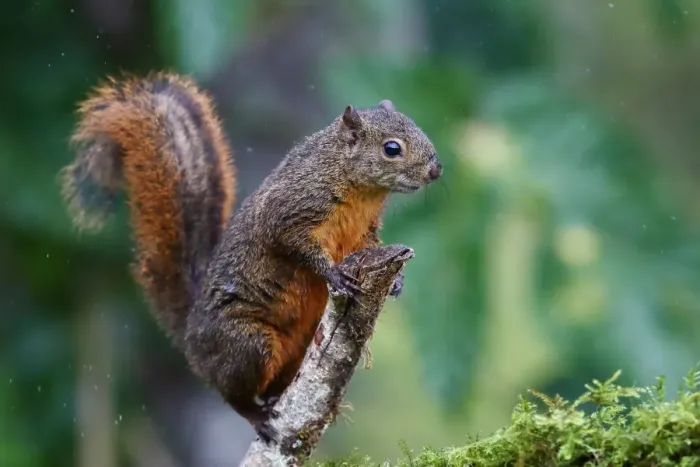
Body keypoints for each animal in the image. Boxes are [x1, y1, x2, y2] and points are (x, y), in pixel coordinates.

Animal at [59, 72, 442, 440]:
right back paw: (258, 416)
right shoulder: (290, 211)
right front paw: (334, 274)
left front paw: (398, 281)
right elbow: (296, 245)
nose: (436, 170)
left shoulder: (364, 233)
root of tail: (190, 337)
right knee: (234, 394)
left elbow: (368, 247)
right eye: (391, 148)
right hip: (247, 344)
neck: (355, 186)